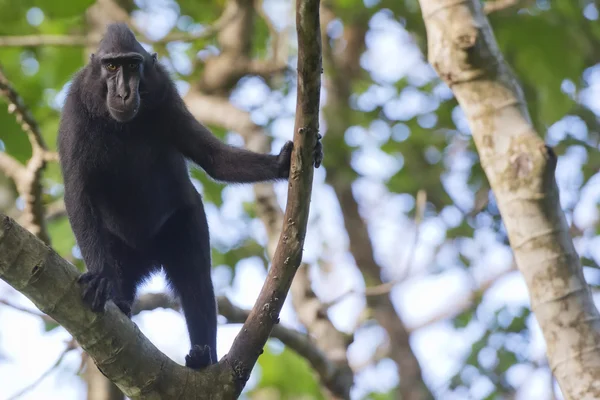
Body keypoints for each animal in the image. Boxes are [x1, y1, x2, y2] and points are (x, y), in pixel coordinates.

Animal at [57, 24, 324, 368]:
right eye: (112, 66)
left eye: (133, 66)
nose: (124, 93)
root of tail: (146, 257)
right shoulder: (75, 110)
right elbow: (77, 191)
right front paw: (101, 277)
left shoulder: (167, 96)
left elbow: (212, 157)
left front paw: (282, 162)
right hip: (118, 250)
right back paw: (121, 302)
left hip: (183, 222)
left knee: (196, 282)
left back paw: (202, 357)